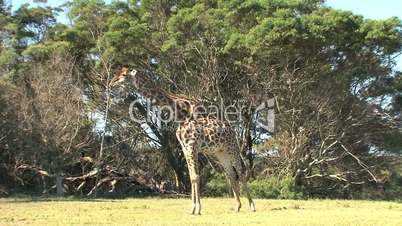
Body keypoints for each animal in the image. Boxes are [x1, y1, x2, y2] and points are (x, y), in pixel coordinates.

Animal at [108, 66, 256, 215]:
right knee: (231, 174)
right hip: (220, 153)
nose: (110, 84)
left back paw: (252, 206)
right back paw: (237, 206)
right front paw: (192, 208)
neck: (180, 113)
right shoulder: (185, 147)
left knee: (240, 173)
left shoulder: (192, 145)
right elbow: (191, 177)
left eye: (123, 75)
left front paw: (197, 208)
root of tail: (232, 131)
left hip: (232, 148)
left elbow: (196, 176)